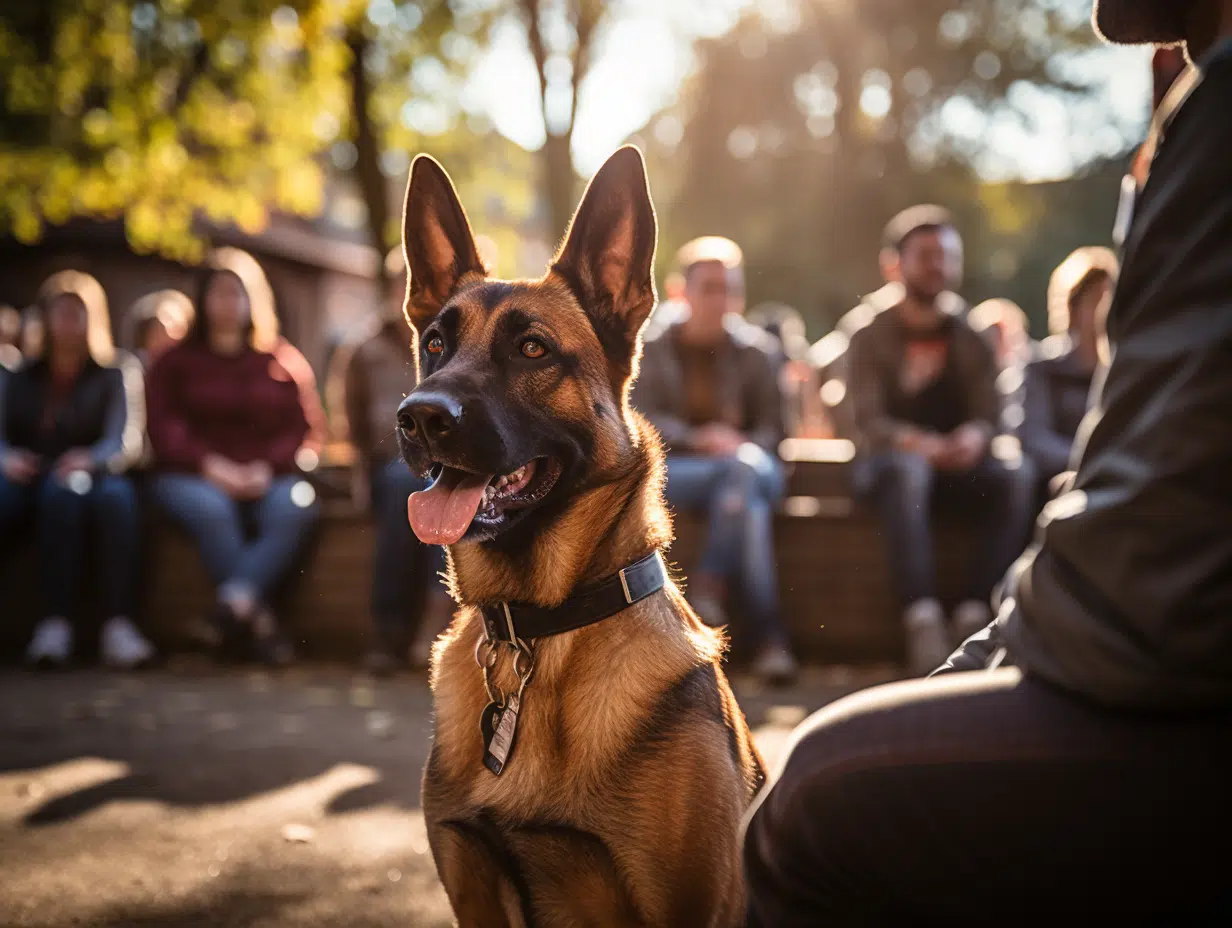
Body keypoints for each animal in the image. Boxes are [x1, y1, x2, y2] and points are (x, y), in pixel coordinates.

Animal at [396, 144, 758, 926]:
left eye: (533, 349)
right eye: (435, 343)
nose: (419, 416)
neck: (538, 631)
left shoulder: (688, 901)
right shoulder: (474, 888)